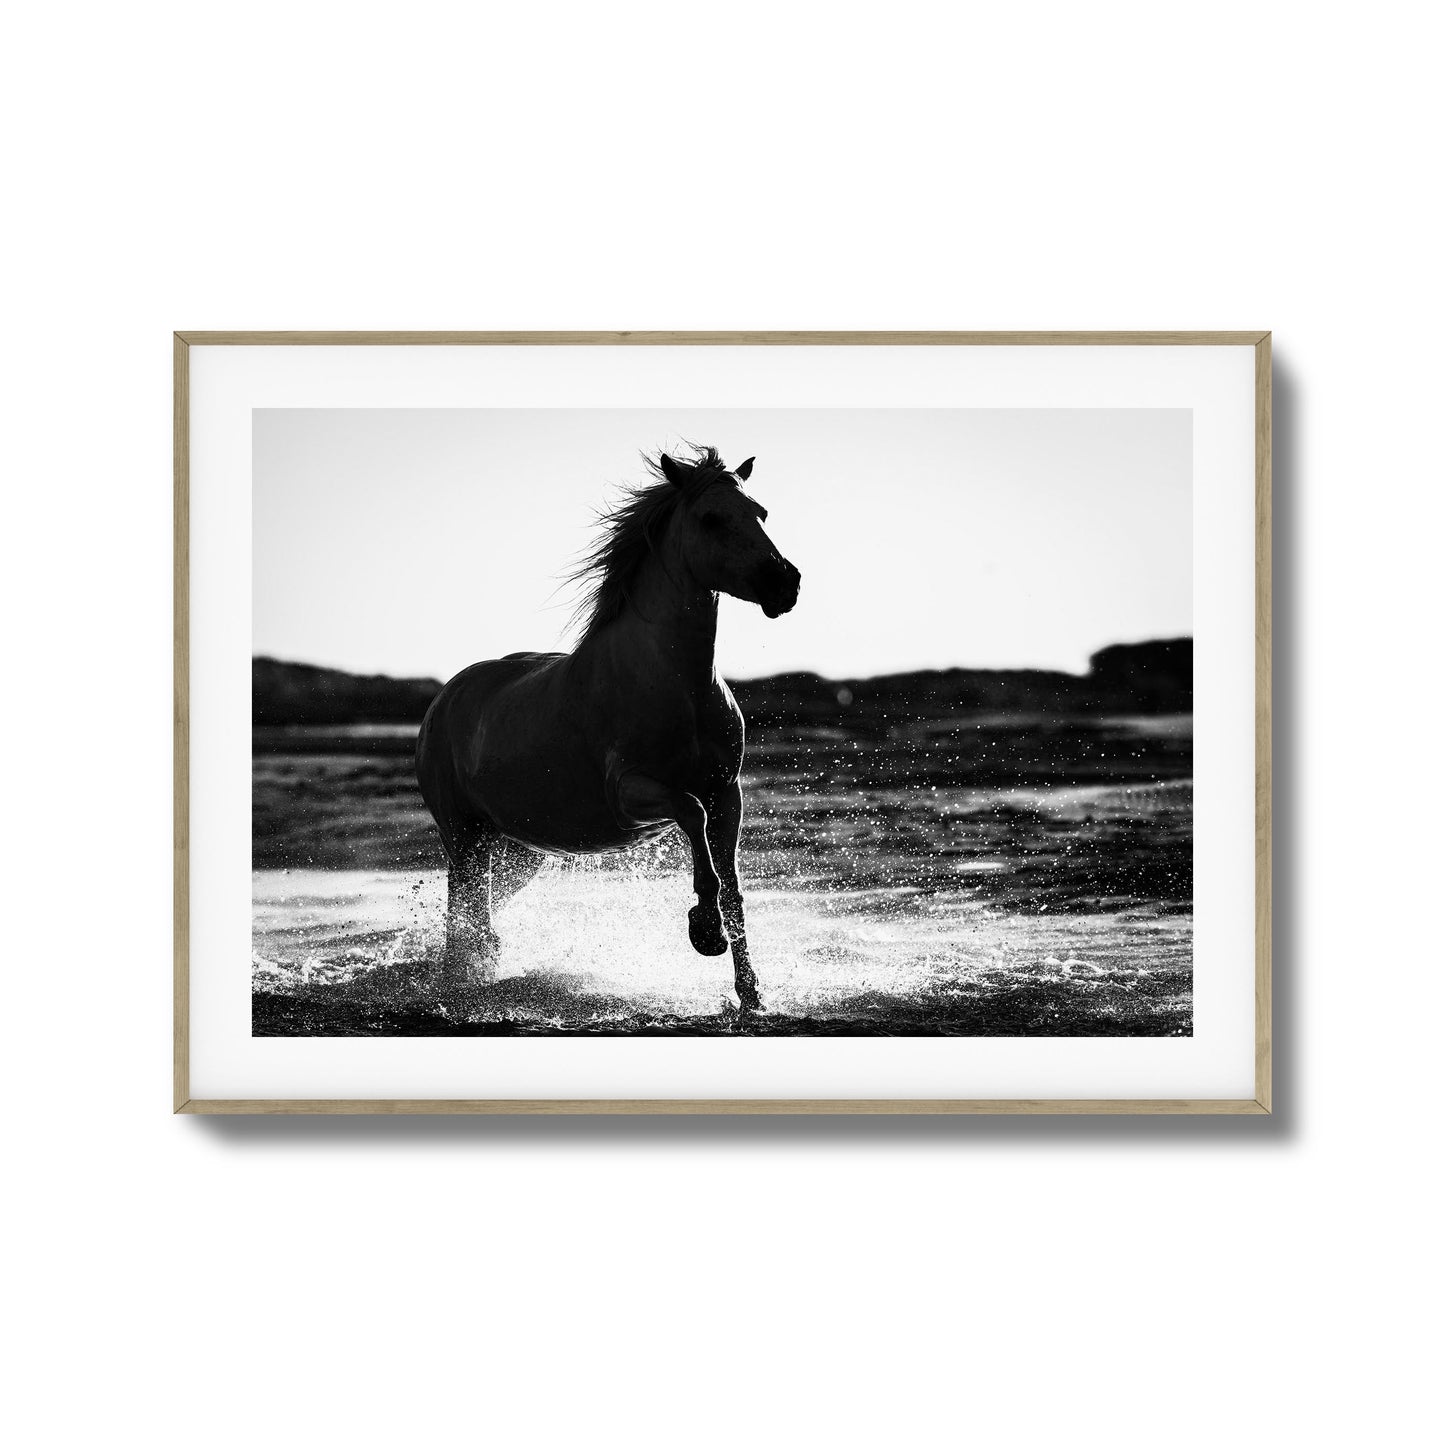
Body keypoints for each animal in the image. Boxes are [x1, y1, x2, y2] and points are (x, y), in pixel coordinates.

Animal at [415, 445, 802, 1013]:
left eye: (761, 513)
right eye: (711, 518)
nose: (784, 583)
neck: (678, 686)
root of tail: (442, 702)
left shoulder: (726, 793)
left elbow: (733, 887)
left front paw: (752, 995)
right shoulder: (631, 792)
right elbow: (692, 816)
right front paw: (704, 931)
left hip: (518, 850)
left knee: (478, 915)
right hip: (463, 836)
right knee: (464, 916)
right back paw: (461, 982)